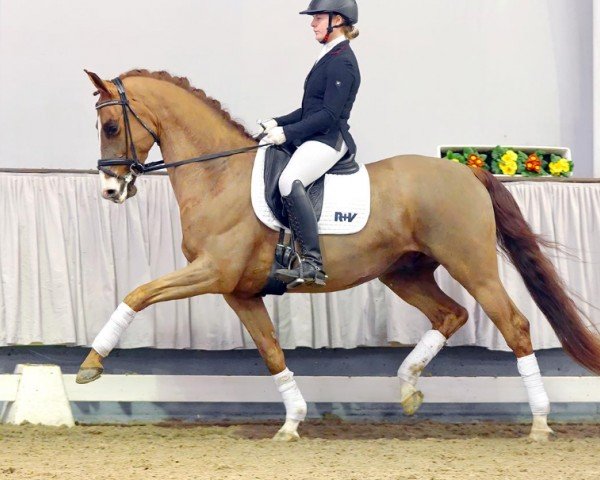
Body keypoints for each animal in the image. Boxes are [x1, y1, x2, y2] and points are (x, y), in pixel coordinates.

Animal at [78, 69, 600, 440]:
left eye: (111, 125)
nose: (109, 190)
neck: (218, 176)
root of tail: (466, 170)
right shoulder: (238, 291)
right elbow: (270, 350)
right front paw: (292, 421)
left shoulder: (212, 272)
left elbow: (138, 293)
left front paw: (91, 363)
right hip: (404, 273)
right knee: (451, 314)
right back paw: (408, 386)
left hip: (472, 266)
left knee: (514, 324)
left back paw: (539, 422)